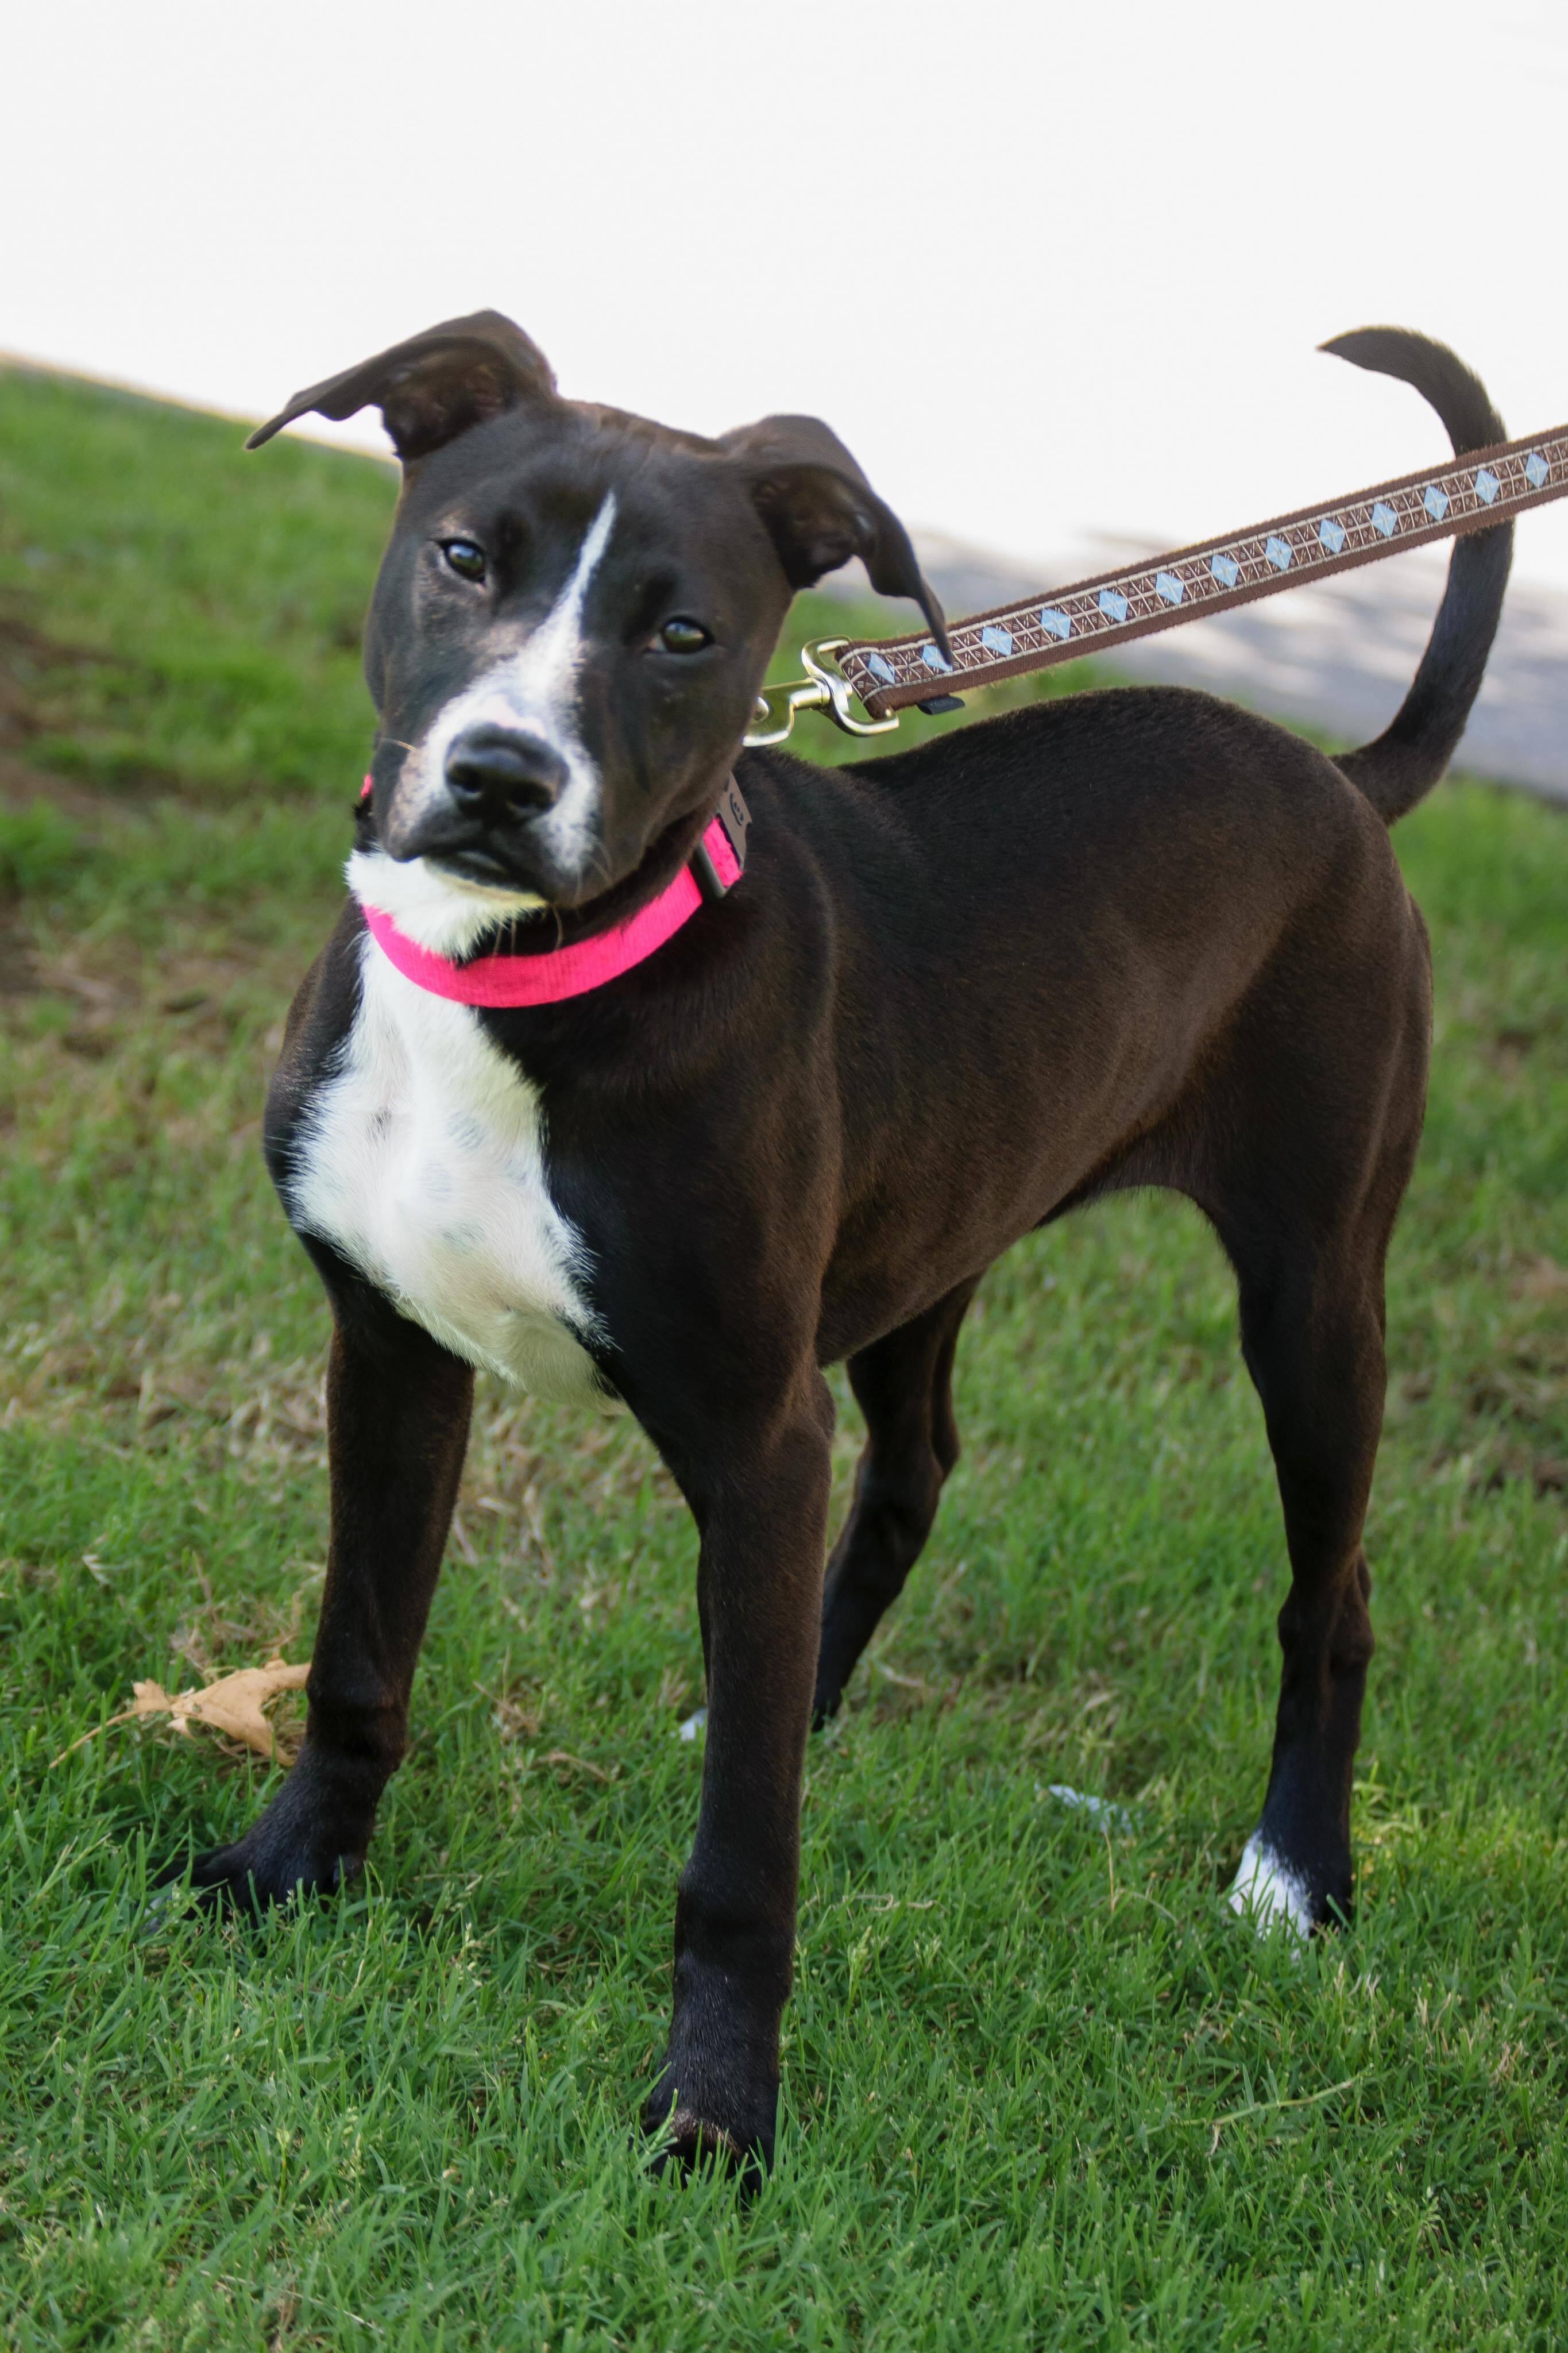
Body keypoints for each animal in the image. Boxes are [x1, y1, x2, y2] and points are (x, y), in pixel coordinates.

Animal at [177, 308, 1513, 2165]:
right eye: (462, 557)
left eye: (685, 633)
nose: (503, 778)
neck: (523, 975)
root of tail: (1331, 771)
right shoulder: (388, 1352)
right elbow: (357, 1660)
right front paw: (287, 1873)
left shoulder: (752, 1428)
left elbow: (743, 1854)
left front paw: (717, 2108)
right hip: (924, 1248)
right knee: (914, 1469)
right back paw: (791, 1689)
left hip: (1311, 1292)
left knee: (1336, 1589)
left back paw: (1292, 1875)